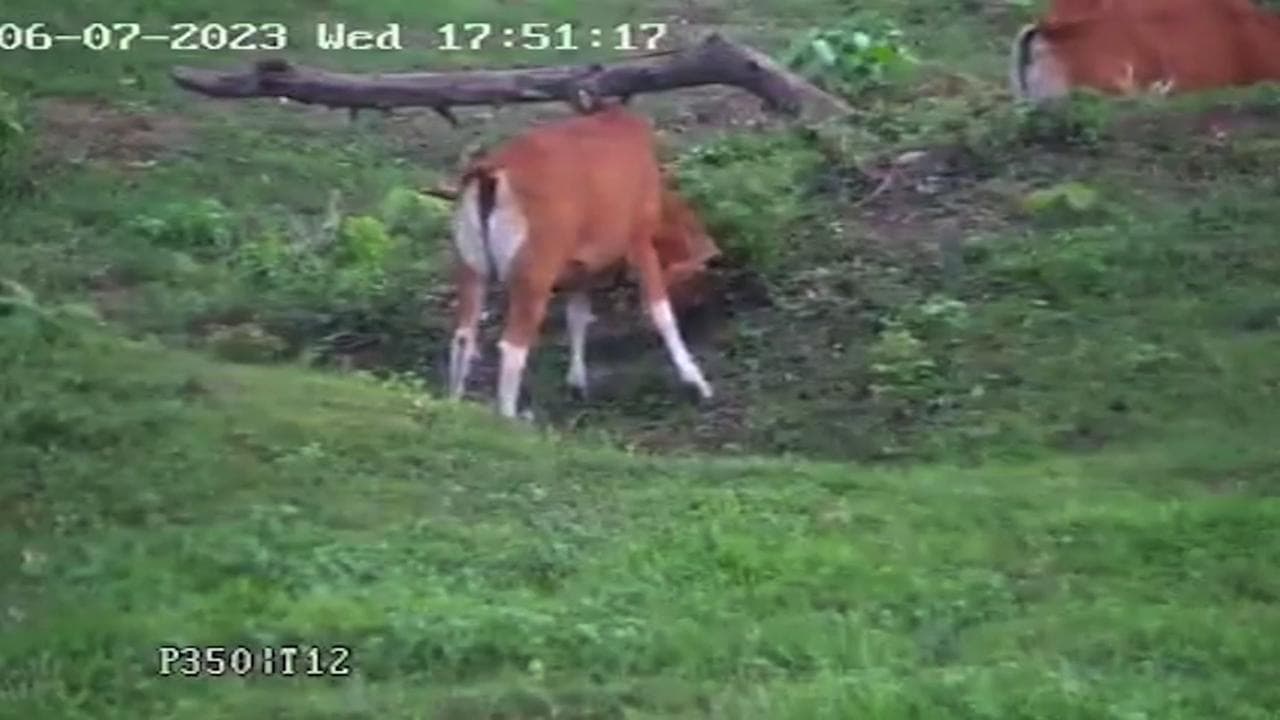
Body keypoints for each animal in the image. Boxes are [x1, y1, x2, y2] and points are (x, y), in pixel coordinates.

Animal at [440, 104, 720, 419]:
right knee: (512, 347)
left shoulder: (581, 268)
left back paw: (453, 406)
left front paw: (577, 383)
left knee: (463, 336)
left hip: (470, 265)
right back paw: (509, 418)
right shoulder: (638, 240)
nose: (700, 312)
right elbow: (660, 311)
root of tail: (488, 176)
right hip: (533, 273)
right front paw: (697, 382)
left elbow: (577, 317)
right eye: (699, 274)